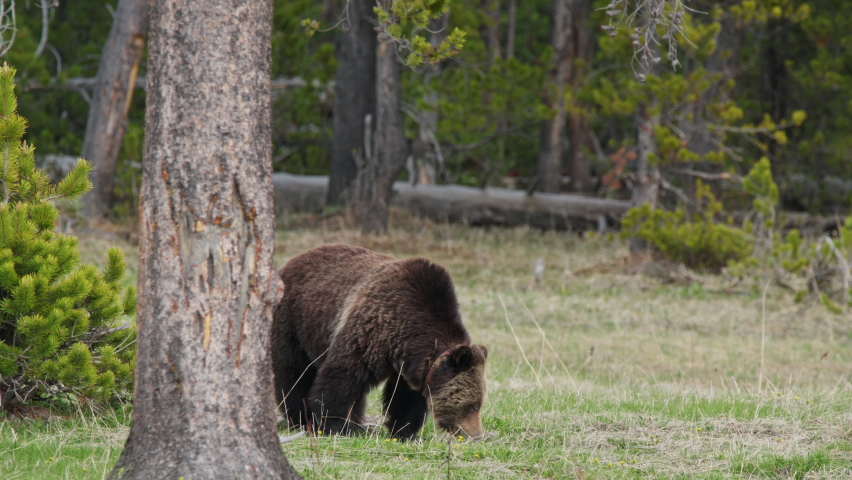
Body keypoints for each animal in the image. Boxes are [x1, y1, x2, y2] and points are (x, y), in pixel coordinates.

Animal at [272, 246, 486, 440]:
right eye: (473, 406)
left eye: (479, 403)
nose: (477, 435)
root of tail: (292, 261)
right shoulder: (371, 330)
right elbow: (342, 375)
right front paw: (333, 425)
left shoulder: (410, 366)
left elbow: (405, 399)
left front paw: (405, 432)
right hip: (294, 323)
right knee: (295, 373)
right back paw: (300, 418)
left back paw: (356, 423)